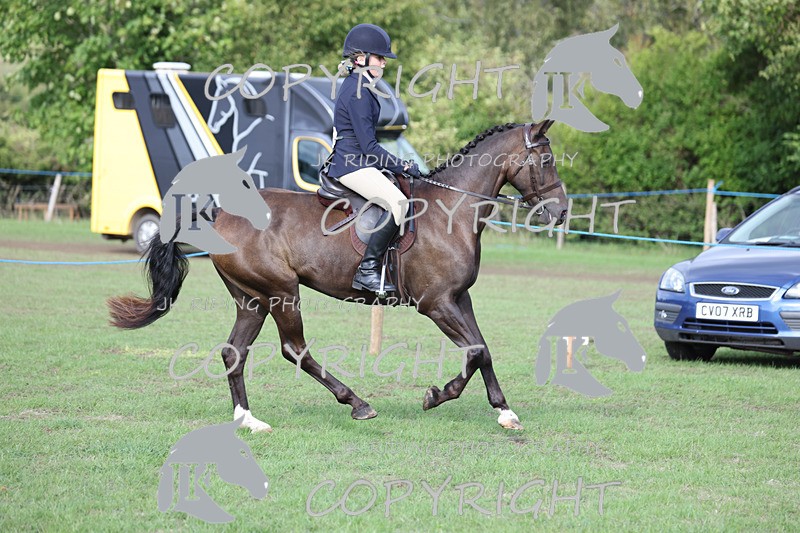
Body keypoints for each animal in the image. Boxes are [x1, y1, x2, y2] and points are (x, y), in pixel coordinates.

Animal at [109, 121, 568, 432]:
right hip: (281, 292)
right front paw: (437, 396)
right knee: (294, 350)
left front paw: (504, 411)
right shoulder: (436, 304)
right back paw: (357, 403)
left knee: (234, 352)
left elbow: (483, 349)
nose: (562, 211)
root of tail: (218, 214)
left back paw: (248, 420)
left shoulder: (459, 298)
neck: (450, 212)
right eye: (546, 160)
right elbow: (474, 351)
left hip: (252, 299)